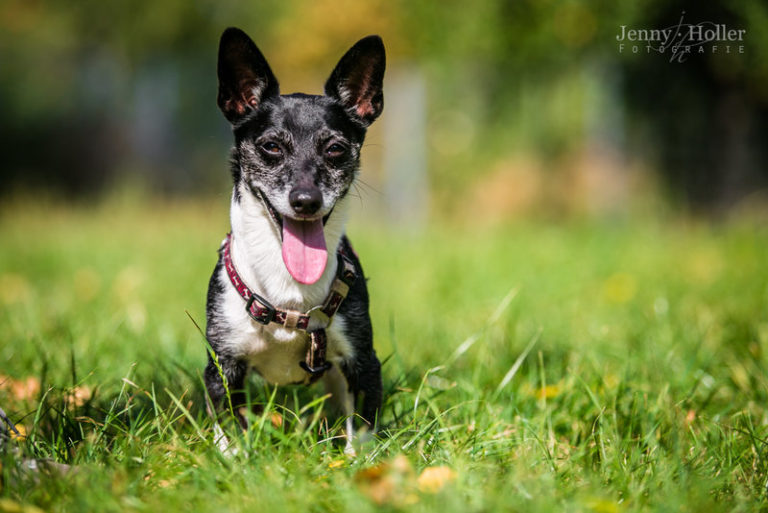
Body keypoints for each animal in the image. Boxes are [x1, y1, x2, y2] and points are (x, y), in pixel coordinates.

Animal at [204, 28, 384, 452]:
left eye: (335, 149)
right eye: (271, 146)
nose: (306, 200)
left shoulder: (363, 364)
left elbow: (362, 429)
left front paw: (357, 462)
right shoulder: (222, 368)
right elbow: (228, 428)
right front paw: (233, 457)